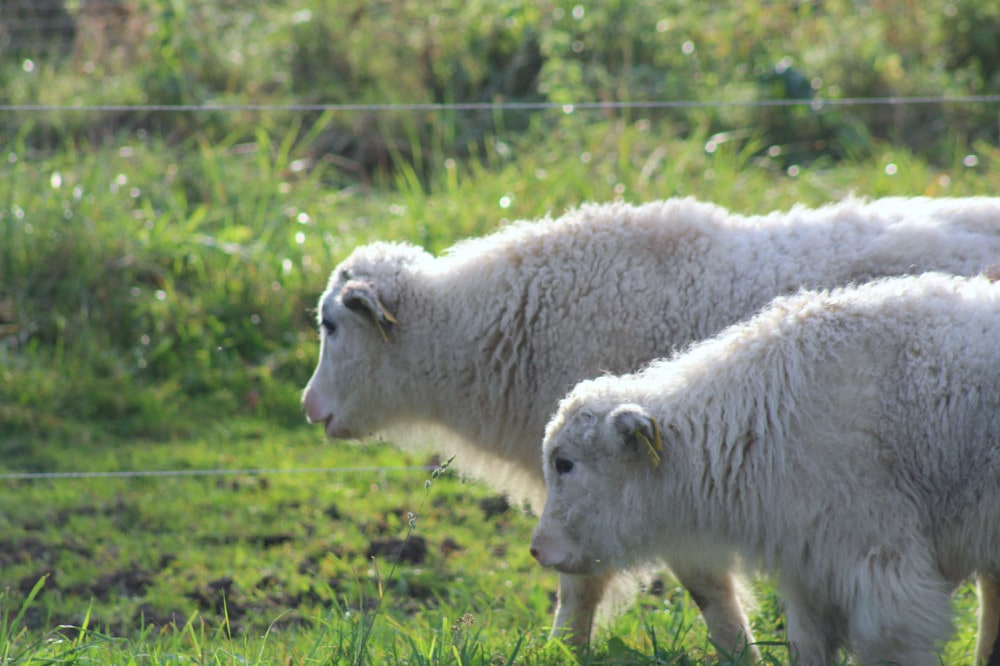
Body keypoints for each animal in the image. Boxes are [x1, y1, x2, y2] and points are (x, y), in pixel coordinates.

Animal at [536, 272, 1000, 664]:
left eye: (564, 464)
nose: (539, 548)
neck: (761, 417)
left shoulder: (885, 572)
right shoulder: (813, 579)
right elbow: (807, 646)